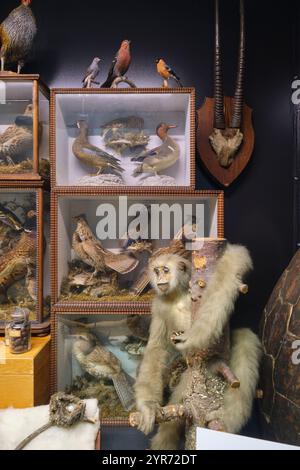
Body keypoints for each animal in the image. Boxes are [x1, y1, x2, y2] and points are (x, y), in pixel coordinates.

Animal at [135, 248, 262, 450]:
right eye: (156, 271)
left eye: (165, 270)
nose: (159, 278)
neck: (177, 296)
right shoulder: (158, 306)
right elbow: (156, 348)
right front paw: (148, 407)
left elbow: (235, 258)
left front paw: (196, 334)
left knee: (245, 339)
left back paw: (228, 421)